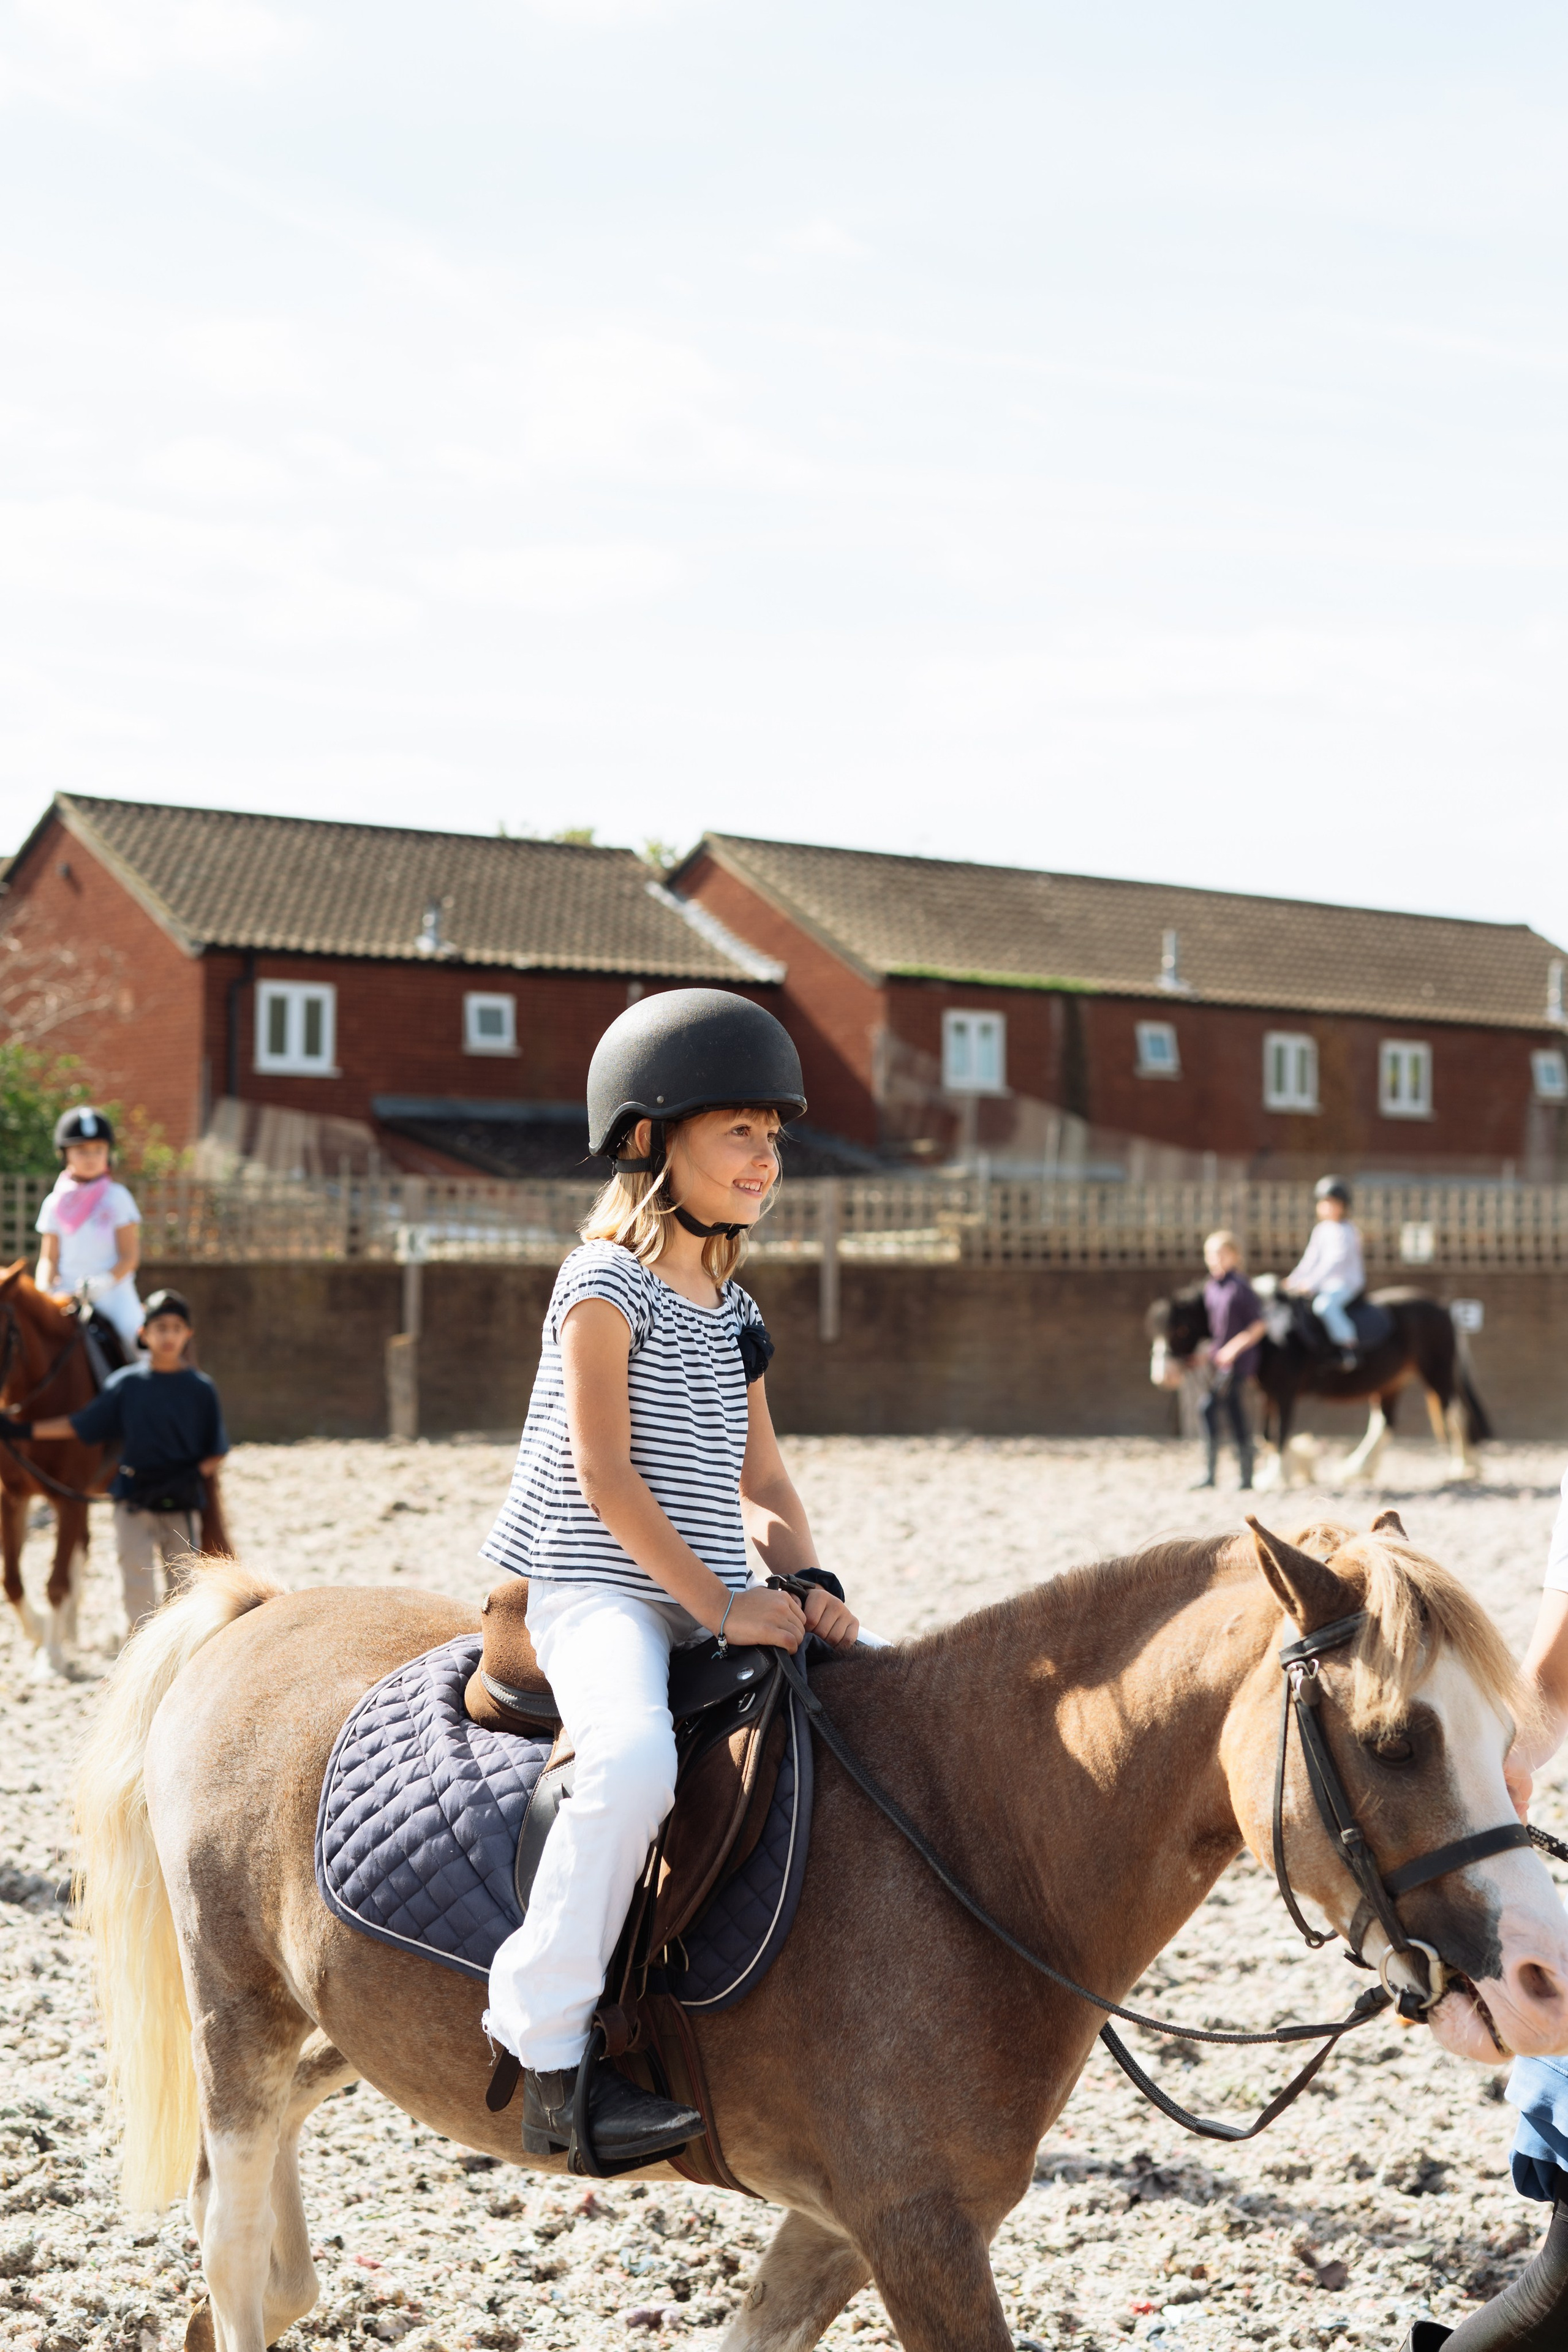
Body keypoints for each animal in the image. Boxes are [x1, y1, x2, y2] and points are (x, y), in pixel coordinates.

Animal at [76, 1515, 1568, 2352]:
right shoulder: (918, 2234)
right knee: (242, 2281)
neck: (967, 1842)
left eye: (1511, 1736)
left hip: (333, 2044)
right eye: (1393, 1740)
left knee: (253, 2263)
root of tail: (260, 1611)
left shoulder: (848, 2227)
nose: (1540, 1980)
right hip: (241, 2031)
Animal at [1148, 1281, 1492, 1487]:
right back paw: (1357, 1469)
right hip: (1390, 1383)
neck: (1270, 1331)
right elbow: (1267, 1434)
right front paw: (1278, 1474)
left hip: (1438, 1375)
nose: (1162, 1376)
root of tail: (1443, 1308)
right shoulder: (1267, 1395)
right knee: (1384, 1424)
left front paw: (1275, 1478)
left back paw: (1464, 1467)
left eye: (1179, 1330)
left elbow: (1279, 1433)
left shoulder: (1284, 1393)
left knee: (1455, 1416)